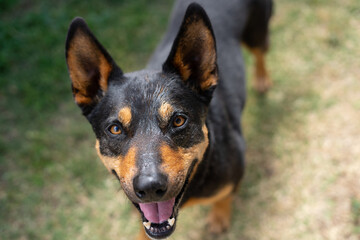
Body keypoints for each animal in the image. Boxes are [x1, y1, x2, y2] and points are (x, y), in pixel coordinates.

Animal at [65, 0, 272, 239]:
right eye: (115, 129)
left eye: (178, 121)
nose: (149, 187)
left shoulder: (232, 174)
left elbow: (224, 196)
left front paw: (219, 217)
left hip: (256, 32)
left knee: (260, 52)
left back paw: (262, 78)